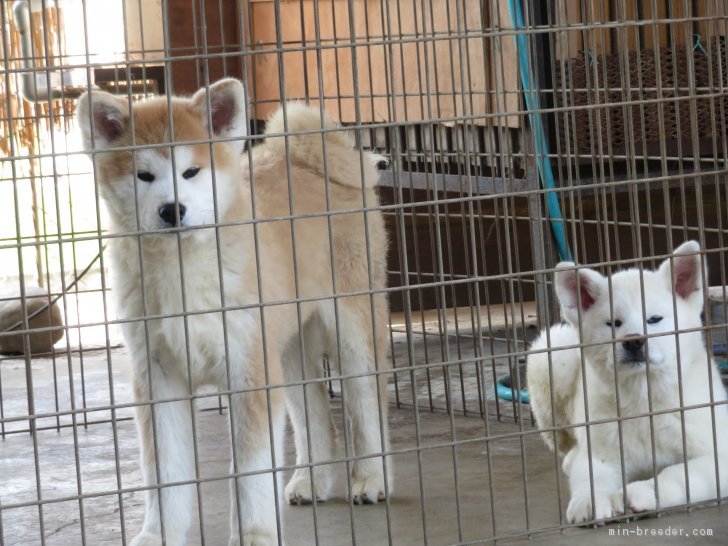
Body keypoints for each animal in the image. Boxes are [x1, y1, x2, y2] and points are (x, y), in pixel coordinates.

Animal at [78, 77, 392, 544]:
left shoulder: (249, 373)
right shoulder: (158, 378)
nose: (172, 209)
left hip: (352, 329)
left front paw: (254, 535)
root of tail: (306, 154)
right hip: (286, 350)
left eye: (191, 172)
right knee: (315, 414)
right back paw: (310, 480)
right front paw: (158, 534)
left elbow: (250, 471)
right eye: (144, 175)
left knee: (366, 405)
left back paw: (371, 478)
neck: (184, 273)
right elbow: (163, 474)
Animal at [528, 241, 728, 524]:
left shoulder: (717, 454)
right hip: (552, 351)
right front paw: (589, 500)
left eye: (654, 319)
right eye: (613, 323)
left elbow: (678, 473)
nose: (633, 341)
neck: (643, 396)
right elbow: (591, 474)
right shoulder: (600, 451)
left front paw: (643, 492)